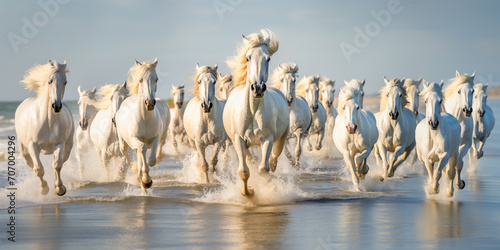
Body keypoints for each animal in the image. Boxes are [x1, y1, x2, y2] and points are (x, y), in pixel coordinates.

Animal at [15, 60, 73, 195]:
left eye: (65, 82)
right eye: (49, 81)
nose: (56, 106)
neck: (48, 121)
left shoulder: (59, 144)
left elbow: (57, 165)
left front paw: (60, 189)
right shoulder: (33, 145)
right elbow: (39, 169)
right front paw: (44, 189)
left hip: (67, 148)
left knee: (57, 163)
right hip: (25, 152)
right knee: (32, 166)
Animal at [114, 58, 170, 188]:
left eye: (156, 79)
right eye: (140, 79)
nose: (149, 103)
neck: (145, 119)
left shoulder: (156, 138)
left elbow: (152, 160)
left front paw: (146, 179)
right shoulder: (135, 139)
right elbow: (143, 149)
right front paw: (146, 180)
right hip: (123, 143)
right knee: (129, 154)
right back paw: (137, 171)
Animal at [224, 29, 290, 196]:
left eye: (268, 58)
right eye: (248, 58)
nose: (258, 88)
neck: (253, 110)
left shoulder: (267, 138)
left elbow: (263, 170)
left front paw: (272, 185)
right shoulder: (239, 140)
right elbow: (244, 171)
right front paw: (248, 193)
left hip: (280, 139)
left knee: (273, 159)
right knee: (251, 162)